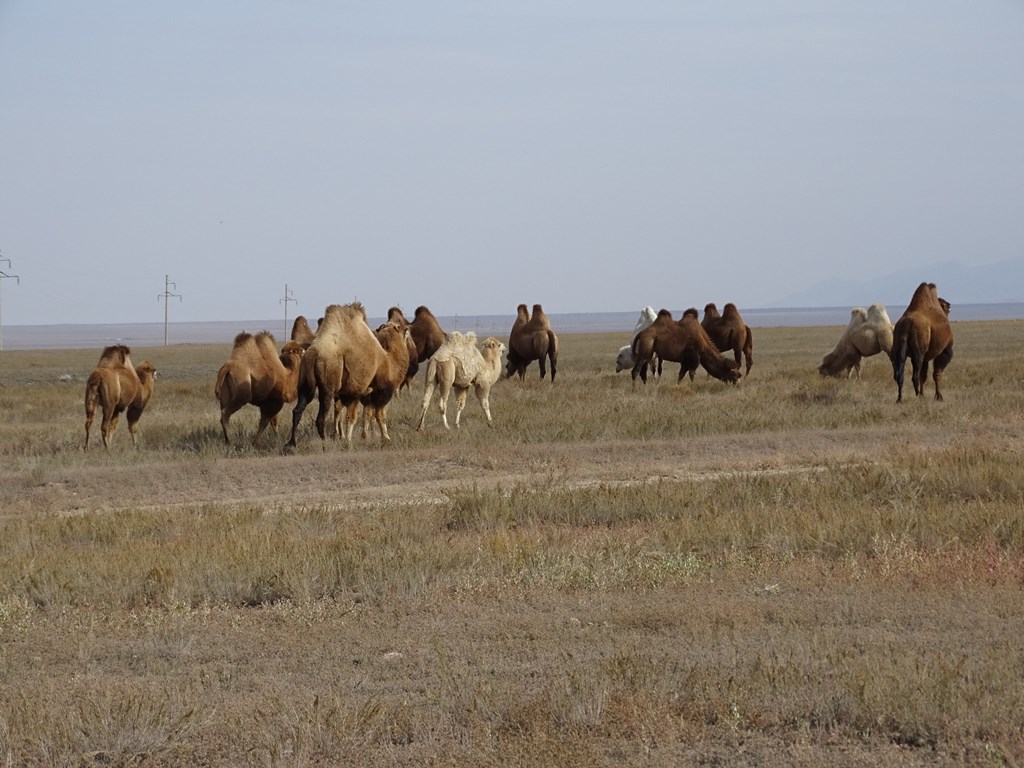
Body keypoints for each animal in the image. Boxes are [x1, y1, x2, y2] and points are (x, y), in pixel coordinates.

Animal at [290, 303, 393, 448]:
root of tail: (314, 352)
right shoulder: (358, 391)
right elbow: (364, 415)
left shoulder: (351, 393)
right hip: (328, 385)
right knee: (321, 418)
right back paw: (325, 444)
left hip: (305, 383)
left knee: (297, 410)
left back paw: (291, 444)